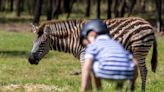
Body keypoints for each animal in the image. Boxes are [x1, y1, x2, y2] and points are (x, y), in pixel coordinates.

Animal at [28, 16, 158, 91]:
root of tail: (148, 23)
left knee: (144, 71)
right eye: (33, 42)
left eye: (42, 43)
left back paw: (142, 90)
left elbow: (87, 75)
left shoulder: (84, 55)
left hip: (139, 49)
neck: (74, 37)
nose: (30, 60)